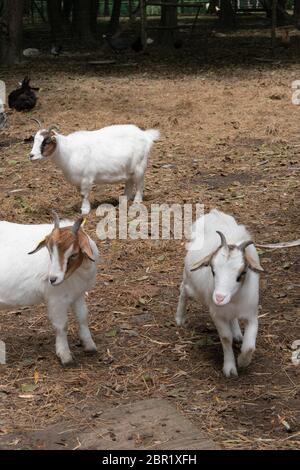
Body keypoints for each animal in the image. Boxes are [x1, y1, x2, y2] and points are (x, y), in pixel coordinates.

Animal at [0, 214, 98, 368]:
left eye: (74, 254)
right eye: (49, 250)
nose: (53, 279)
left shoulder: (78, 293)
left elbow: (83, 317)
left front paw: (89, 346)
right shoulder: (56, 298)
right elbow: (62, 326)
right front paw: (65, 356)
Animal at [28, 123, 159, 215]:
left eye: (46, 141)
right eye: (34, 140)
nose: (31, 155)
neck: (68, 151)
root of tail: (145, 135)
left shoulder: (87, 177)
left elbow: (84, 194)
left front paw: (85, 210)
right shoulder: (78, 180)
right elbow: (80, 193)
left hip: (139, 166)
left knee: (140, 183)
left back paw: (137, 201)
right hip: (129, 169)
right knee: (130, 183)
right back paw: (122, 201)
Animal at [175, 209, 264, 378]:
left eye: (242, 274)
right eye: (213, 270)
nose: (219, 298)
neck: (234, 300)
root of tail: (214, 214)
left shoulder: (251, 314)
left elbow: (249, 346)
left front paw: (243, 361)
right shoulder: (217, 314)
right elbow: (225, 338)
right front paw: (230, 368)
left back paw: (237, 333)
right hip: (191, 284)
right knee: (183, 289)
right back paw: (179, 318)